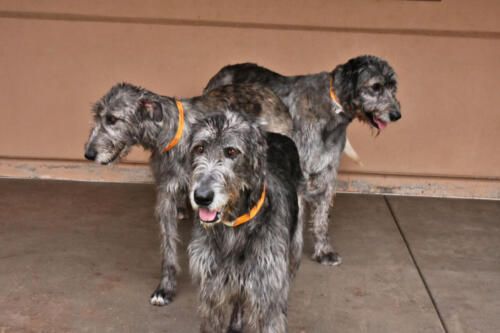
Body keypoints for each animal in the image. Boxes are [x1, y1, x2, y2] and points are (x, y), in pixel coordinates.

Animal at [83, 82, 292, 304]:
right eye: (97, 115)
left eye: (113, 119)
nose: (88, 154)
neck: (173, 133)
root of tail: (269, 92)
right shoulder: (167, 193)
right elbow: (168, 245)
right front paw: (165, 286)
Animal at [188, 111, 302, 332]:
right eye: (199, 148)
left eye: (231, 151)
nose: (202, 197)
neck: (235, 226)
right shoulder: (212, 293)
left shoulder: (266, 291)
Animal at [203, 55, 402, 266]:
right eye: (376, 86)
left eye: (393, 87)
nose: (397, 115)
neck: (332, 109)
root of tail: (221, 72)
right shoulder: (298, 170)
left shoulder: (328, 172)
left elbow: (322, 217)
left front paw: (323, 251)